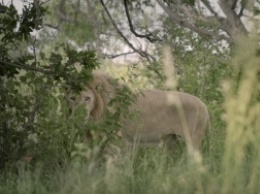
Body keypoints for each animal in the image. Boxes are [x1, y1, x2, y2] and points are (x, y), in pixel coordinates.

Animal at [65, 70, 209, 152]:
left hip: (193, 140)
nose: (78, 117)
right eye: (72, 98)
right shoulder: (89, 138)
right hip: (171, 141)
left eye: (87, 98)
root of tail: (203, 105)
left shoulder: (118, 141)